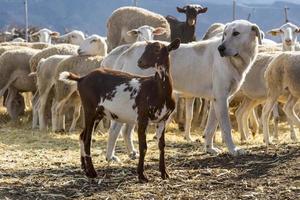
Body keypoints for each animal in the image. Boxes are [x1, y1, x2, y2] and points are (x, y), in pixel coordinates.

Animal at [59, 39, 179, 183]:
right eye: (145, 48)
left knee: (82, 136)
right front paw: (142, 175)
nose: (140, 62)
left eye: (156, 49)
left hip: (98, 113)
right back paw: (92, 172)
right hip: (89, 108)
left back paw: (85, 168)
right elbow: (143, 147)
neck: (156, 89)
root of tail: (82, 78)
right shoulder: (142, 118)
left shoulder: (162, 120)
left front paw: (164, 173)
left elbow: (161, 145)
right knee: (87, 138)